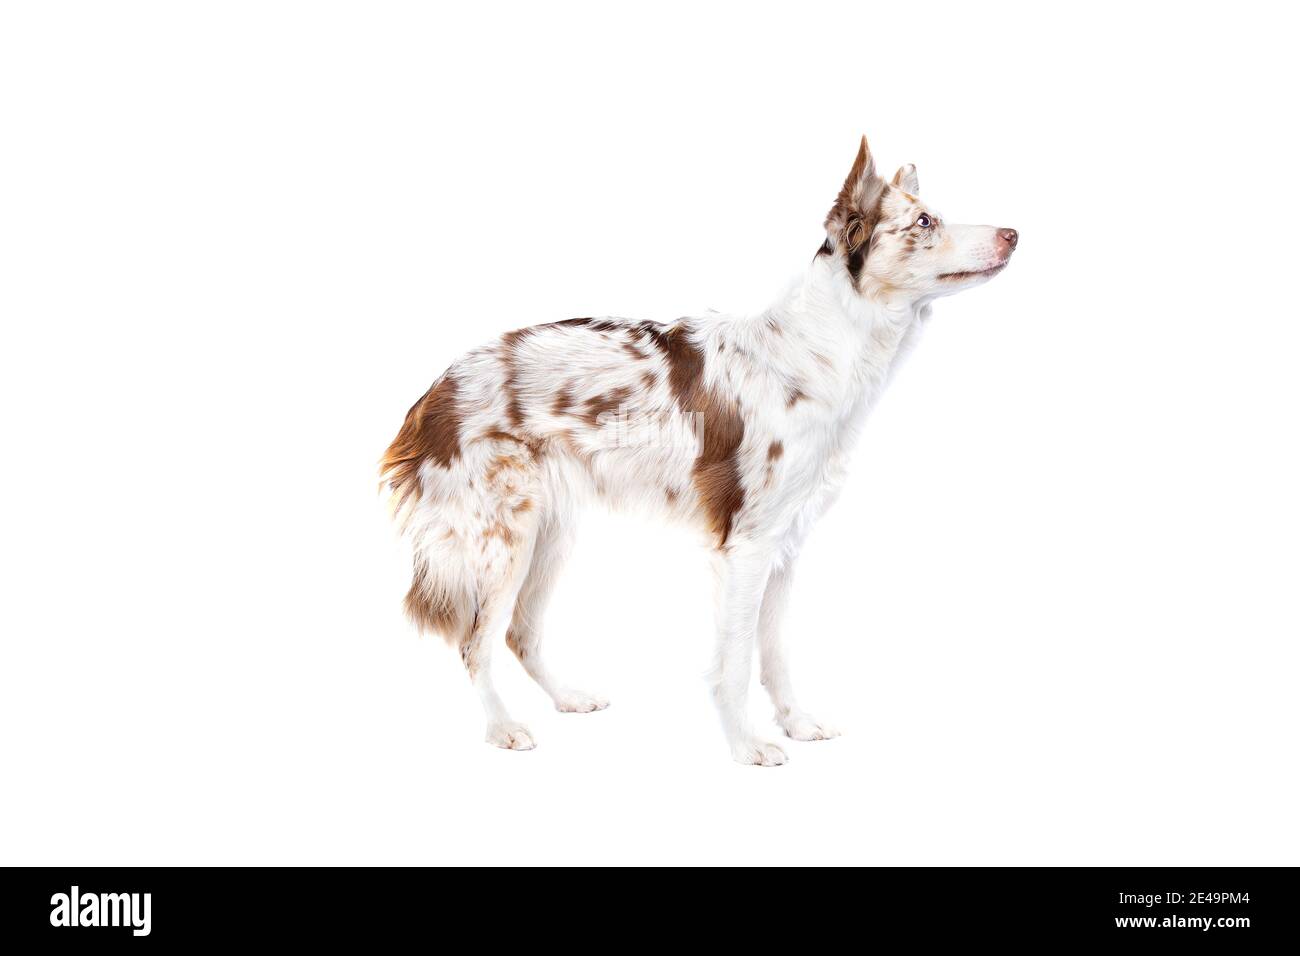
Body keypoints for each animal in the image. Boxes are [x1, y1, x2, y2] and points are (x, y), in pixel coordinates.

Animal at [382, 134, 1013, 764]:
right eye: (925, 221)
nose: (1013, 233)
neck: (819, 349)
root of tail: (436, 388)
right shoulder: (746, 545)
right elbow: (734, 664)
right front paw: (747, 744)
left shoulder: (784, 544)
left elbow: (775, 654)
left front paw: (796, 723)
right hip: (502, 540)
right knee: (475, 642)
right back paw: (502, 727)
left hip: (551, 533)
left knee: (520, 632)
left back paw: (567, 698)